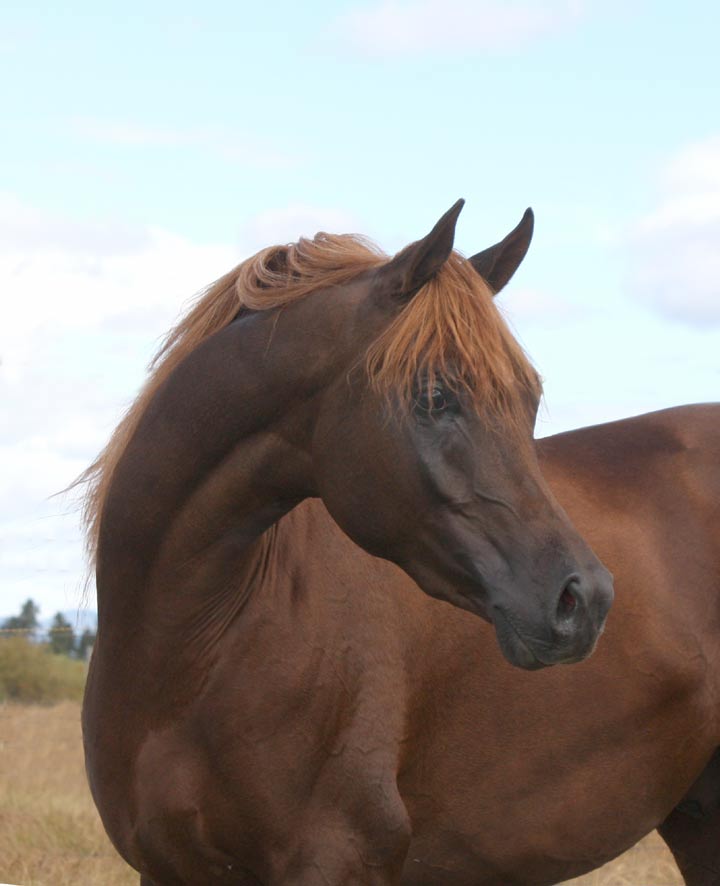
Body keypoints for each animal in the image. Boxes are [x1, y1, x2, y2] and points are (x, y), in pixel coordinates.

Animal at [77, 203, 716, 886]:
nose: (586, 600)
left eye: (530, 400)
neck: (191, 654)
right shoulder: (165, 867)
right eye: (434, 395)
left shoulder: (338, 857)